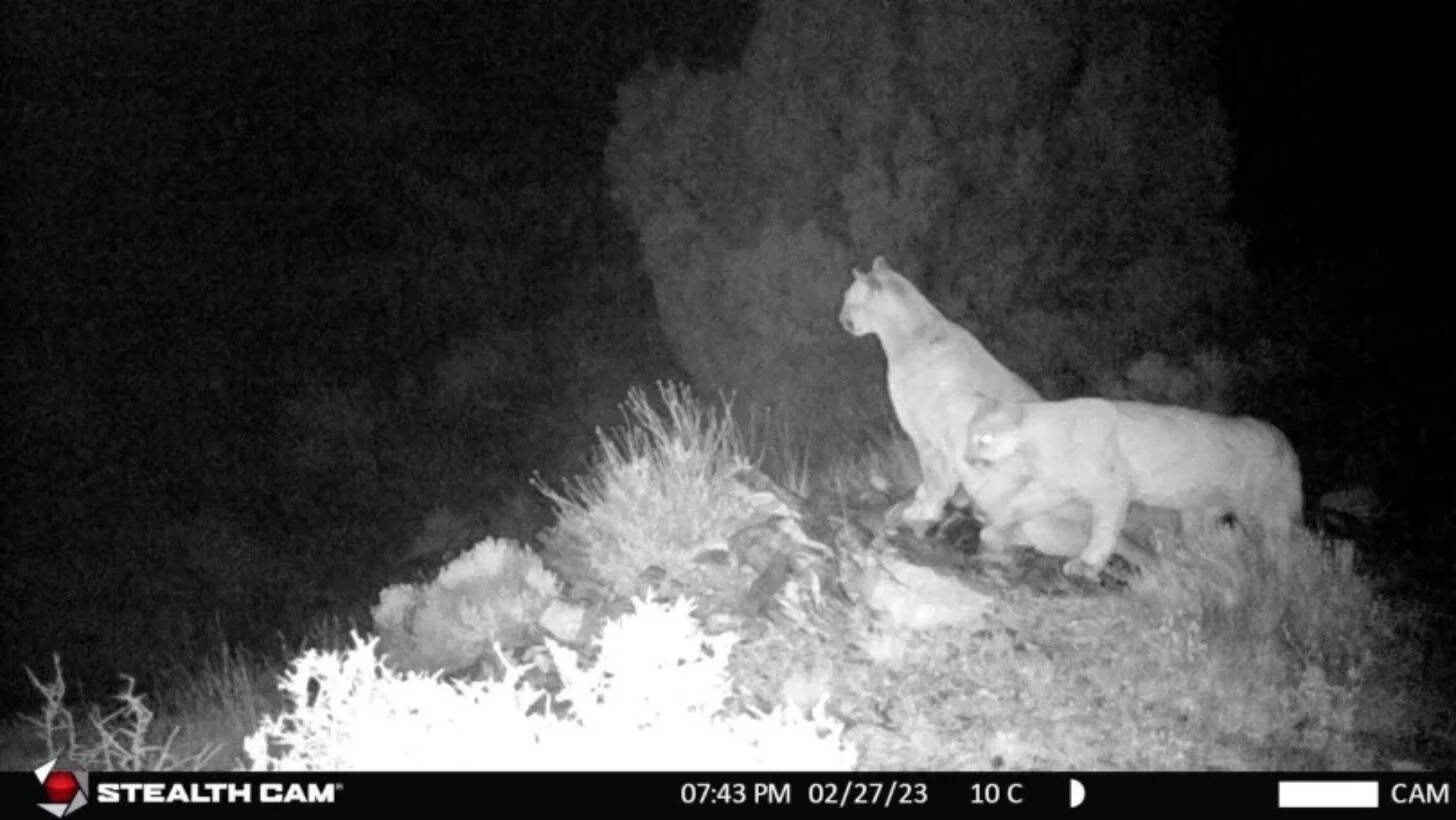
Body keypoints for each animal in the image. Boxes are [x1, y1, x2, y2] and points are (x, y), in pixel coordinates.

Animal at [964, 395, 1305, 578]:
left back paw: (1277, 578)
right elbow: (1017, 504)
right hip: (1200, 513)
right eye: (971, 434)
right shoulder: (1053, 488)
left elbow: (1104, 529)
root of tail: (1282, 438)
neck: (1038, 442)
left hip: (1262, 509)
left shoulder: (1113, 489)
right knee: (1206, 545)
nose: (965, 457)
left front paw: (1087, 564)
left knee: (1281, 545)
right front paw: (993, 528)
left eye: (984, 438)